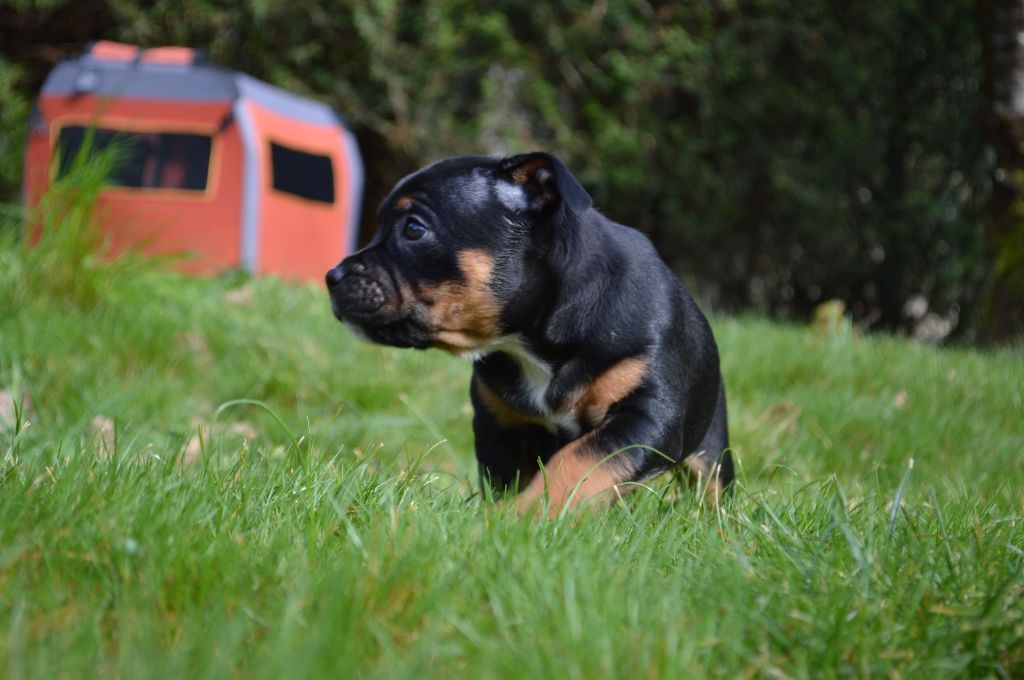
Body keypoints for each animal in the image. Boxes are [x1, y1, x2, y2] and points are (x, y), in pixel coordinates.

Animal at [323, 153, 733, 516]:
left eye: (414, 229)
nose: (333, 276)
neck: (529, 342)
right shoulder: (501, 426)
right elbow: (515, 480)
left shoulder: (646, 416)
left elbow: (580, 461)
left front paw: (527, 515)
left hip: (711, 446)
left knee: (712, 486)